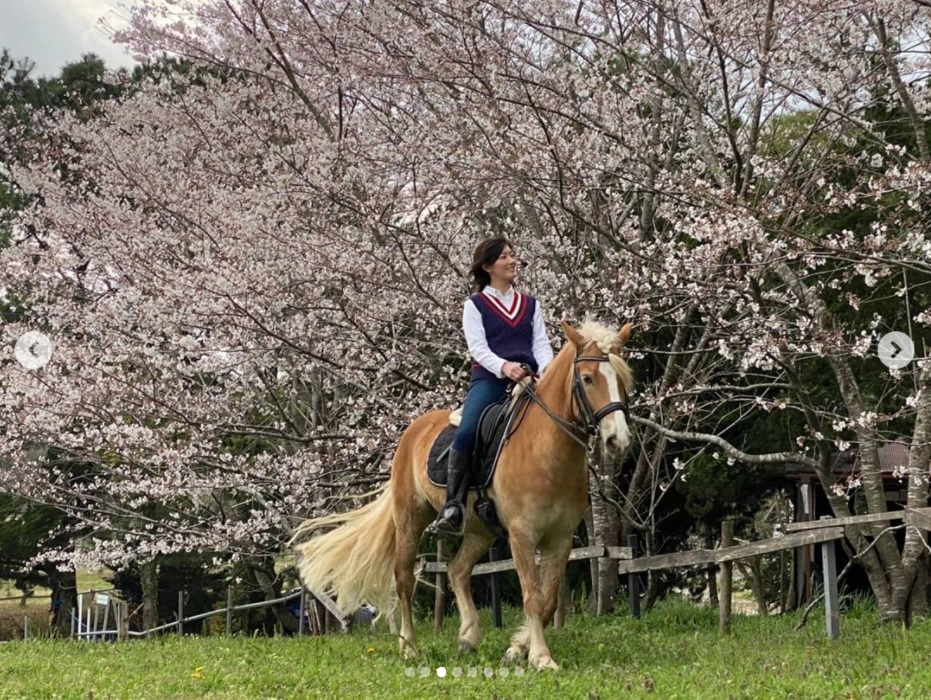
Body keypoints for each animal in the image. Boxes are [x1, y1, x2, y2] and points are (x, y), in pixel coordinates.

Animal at [294, 320, 636, 668]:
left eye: (623, 379)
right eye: (588, 378)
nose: (618, 440)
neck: (546, 451)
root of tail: (413, 430)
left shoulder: (560, 539)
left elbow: (549, 600)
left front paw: (517, 649)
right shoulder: (522, 535)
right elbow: (533, 596)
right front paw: (540, 657)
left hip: (480, 530)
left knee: (457, 570)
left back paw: (468, 636)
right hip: (410, 520)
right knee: (404, 578)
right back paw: (409, 646)